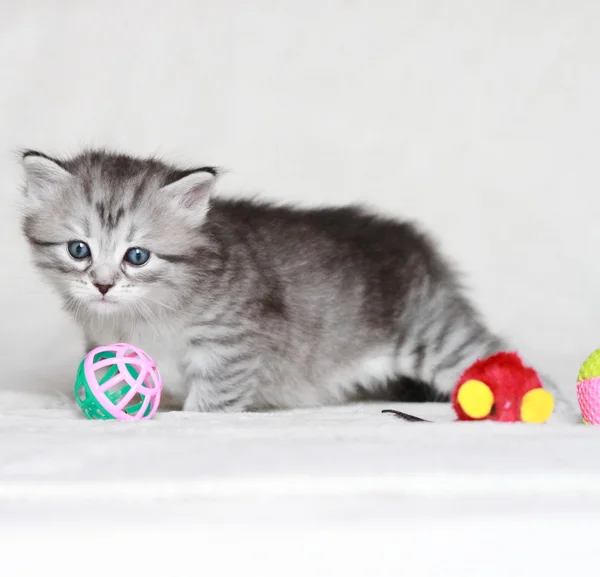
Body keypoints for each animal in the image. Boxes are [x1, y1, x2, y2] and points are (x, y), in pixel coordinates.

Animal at [18, 148, 568, 414]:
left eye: (137, 256)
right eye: (79, 250)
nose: (103, 286)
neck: (144, 315)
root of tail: (413, 240)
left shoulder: (234, 342)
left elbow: (212, 400)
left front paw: (191, 418)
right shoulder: (104, 343)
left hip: (431, 334)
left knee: (491, 356)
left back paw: (555, 405)